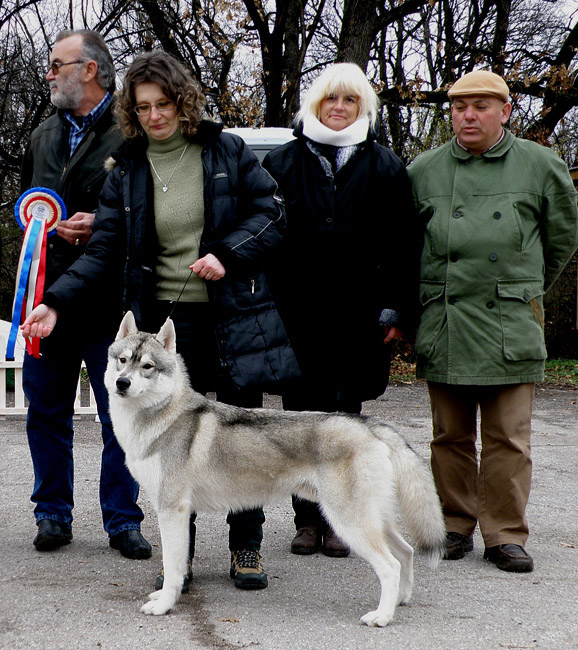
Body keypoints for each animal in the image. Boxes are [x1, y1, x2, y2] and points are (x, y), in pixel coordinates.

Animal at [104, 312, 446, 624]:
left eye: (147, 366)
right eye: (122, 360)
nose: (122, 383)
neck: (159, 417)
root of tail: (371, 425)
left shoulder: (172, 510)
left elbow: (175, 569)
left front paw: (164, 605)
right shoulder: (177, 512)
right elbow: (176, 566)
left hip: (349, 523)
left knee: (390, 566)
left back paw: (382, 616)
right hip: (374, 520)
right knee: (406, 553)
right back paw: (400, 601)